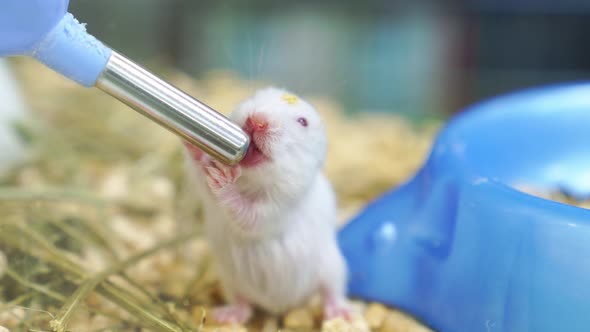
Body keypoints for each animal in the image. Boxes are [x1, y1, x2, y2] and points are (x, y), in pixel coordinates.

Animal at [185, 87, 352, 322]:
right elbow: (202, 172)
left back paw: (342, 314)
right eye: (256, 96)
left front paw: (224, 180)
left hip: (333, 267)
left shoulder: (278, 206)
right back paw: (225, 316)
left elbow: (247, 213)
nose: (256, 120)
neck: (253, 180)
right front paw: (196, 136)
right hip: (230, 279)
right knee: (243, 305)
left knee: (331, 291)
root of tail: (278, 306)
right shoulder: (206, 190)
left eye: (303, 121)